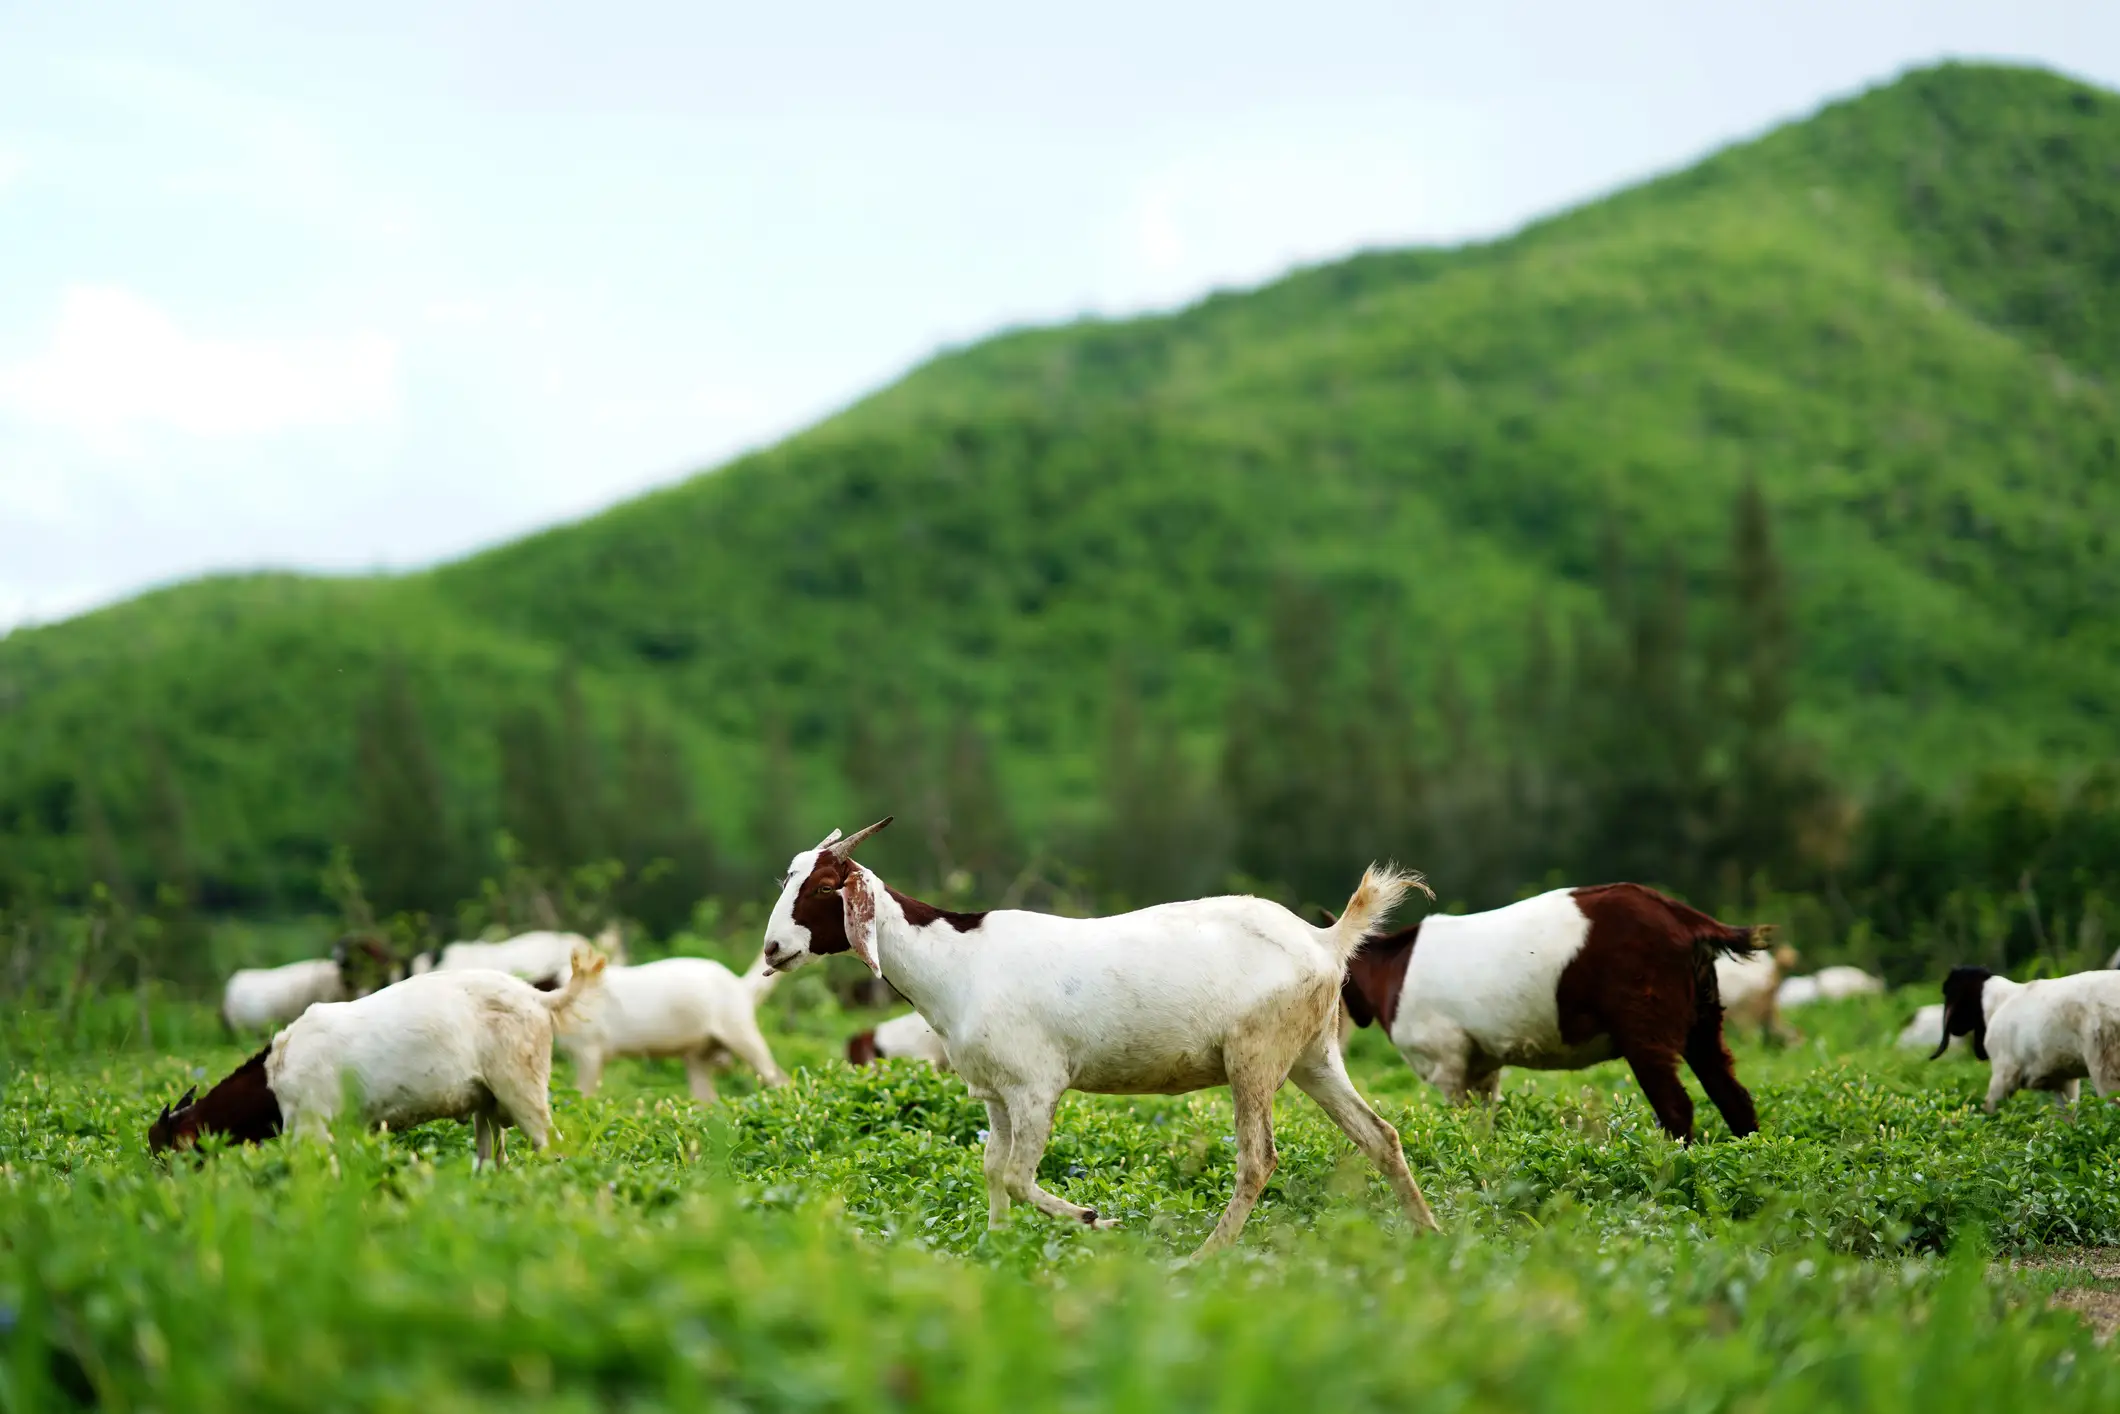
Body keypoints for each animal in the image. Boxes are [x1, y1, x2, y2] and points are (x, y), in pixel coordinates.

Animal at [151, 948, 606, 1168]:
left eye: (167, 1151)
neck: (273, 1078)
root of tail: (541, 998)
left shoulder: (311, 1126)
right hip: (490, 1105)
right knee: (492, 1157)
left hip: (522, 1089)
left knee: (552, 1146)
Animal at [559, 953, 788, 1101]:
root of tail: (741, 986)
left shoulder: (589, 1051)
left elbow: (581, 1094)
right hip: (698, 1055)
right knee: (707, 1099)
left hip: (741, 1032)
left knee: (775, 1075)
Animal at [761, 818, 1440, 1259]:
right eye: (788, 879)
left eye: (824, 887)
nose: (772, 949)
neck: (956, 961)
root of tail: (1325, 941)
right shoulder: (994, 1093)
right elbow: (992, 1168)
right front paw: (997, 1247)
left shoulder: (1036, 1087)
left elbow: (1017, 1176)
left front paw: (1095, 1219)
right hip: (1313, 1056)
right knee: (1380, 1135)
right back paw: (1429, 1235)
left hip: (1254, 1054)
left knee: (1258, 1159)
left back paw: (1204, 1257)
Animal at [1341, 884, 1766, 1142]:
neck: (1391, 968)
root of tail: (1683, 918)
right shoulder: (1482, 1066)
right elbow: (1483, 1125)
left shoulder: (1447, 1063)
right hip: (1703, 1022)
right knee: (1732, 1095)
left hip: (1645, 1029)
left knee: (1676, 1107)